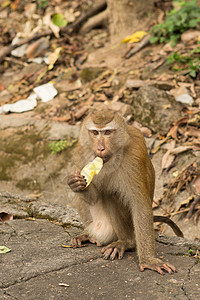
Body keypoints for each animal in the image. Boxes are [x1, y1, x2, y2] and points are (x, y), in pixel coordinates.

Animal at [68, 108, 184, 274]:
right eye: (95, 133)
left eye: (107, 132)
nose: (100, 148)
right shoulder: (81, 154)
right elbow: (93, 197)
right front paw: (77, 184)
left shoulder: (133, 159)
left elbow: (140, 206)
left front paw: (148, 261)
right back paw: (88, 235)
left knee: (111, 195)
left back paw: (126, 242)